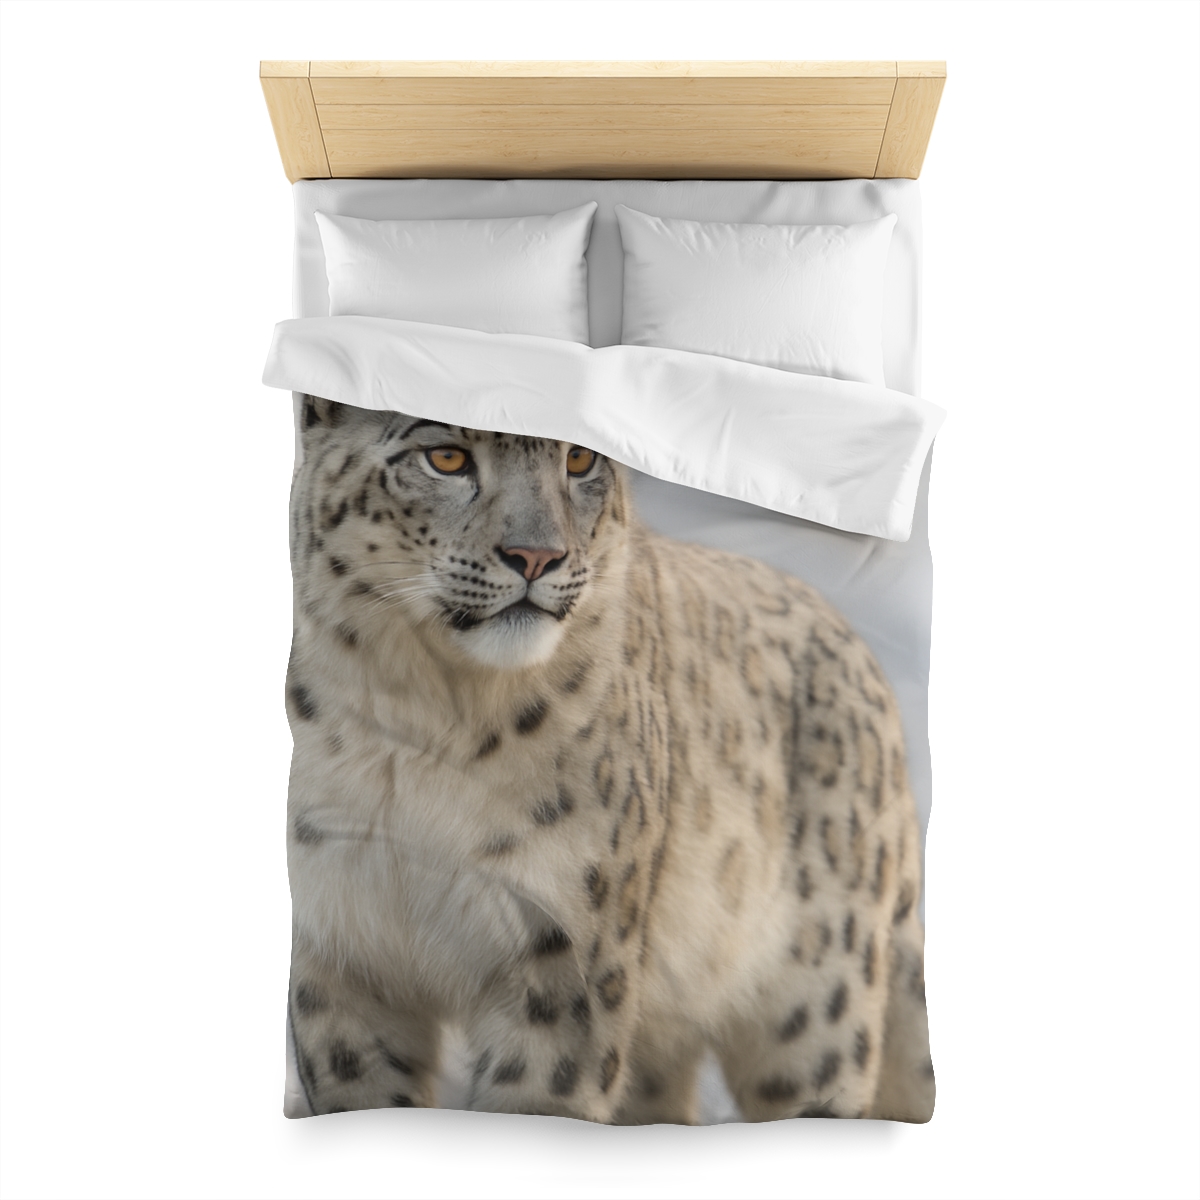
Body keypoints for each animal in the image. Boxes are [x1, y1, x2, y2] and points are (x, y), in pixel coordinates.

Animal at [284, 396, 934, 1124]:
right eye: (445, 456)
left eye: (579, 459)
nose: (536, 556)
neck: (426, 714)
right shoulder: (339, 949)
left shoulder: (564, 954)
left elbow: (540, 1099)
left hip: (814, 1007)